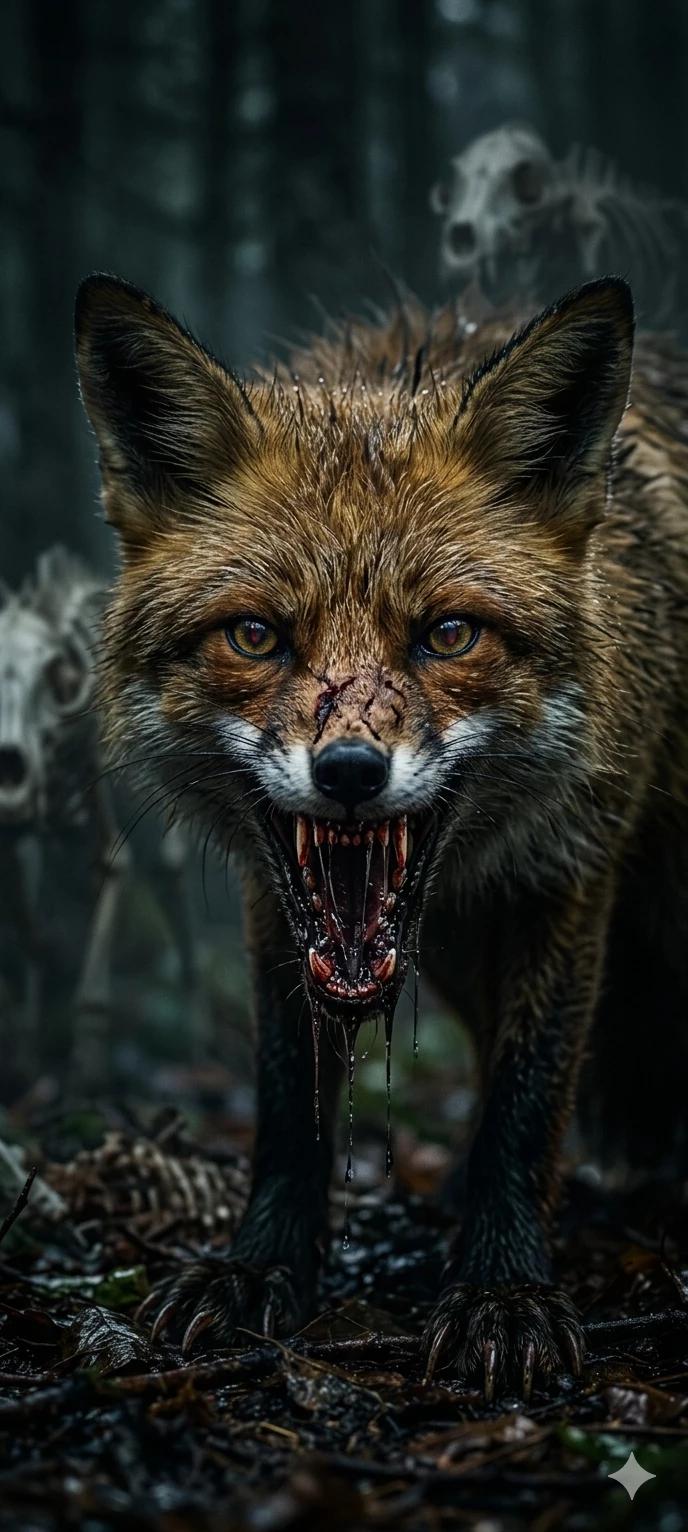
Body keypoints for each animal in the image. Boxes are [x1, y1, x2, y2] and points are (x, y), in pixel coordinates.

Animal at [74, 271, 688, 1399]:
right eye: (256, 634)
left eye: (447, 633)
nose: (351, 772)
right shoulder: (274, 899)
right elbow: (288, 1098)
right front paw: (262, 1266)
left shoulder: (574, 865)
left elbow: (528, 1097)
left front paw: (500, 1288)